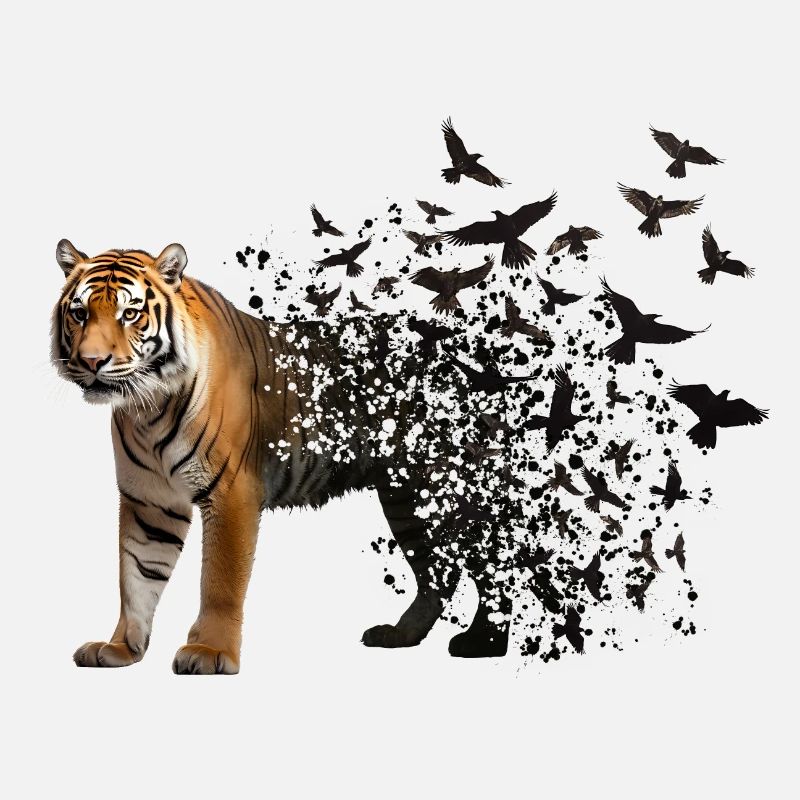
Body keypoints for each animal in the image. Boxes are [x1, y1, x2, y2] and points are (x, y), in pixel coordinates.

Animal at [51, 239, 513, 674]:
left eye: (130, 314)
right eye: (80, 314)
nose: (92, 362)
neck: (147, 408)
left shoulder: (231, 492)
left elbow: (220, 581)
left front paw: (210, 652)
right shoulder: (149, 502)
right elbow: (136, 578)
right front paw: (120, 648)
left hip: (453, 485)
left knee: (497, 558)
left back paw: (482, 642)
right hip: (405, 496)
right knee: (437, 573)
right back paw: (401, 635)